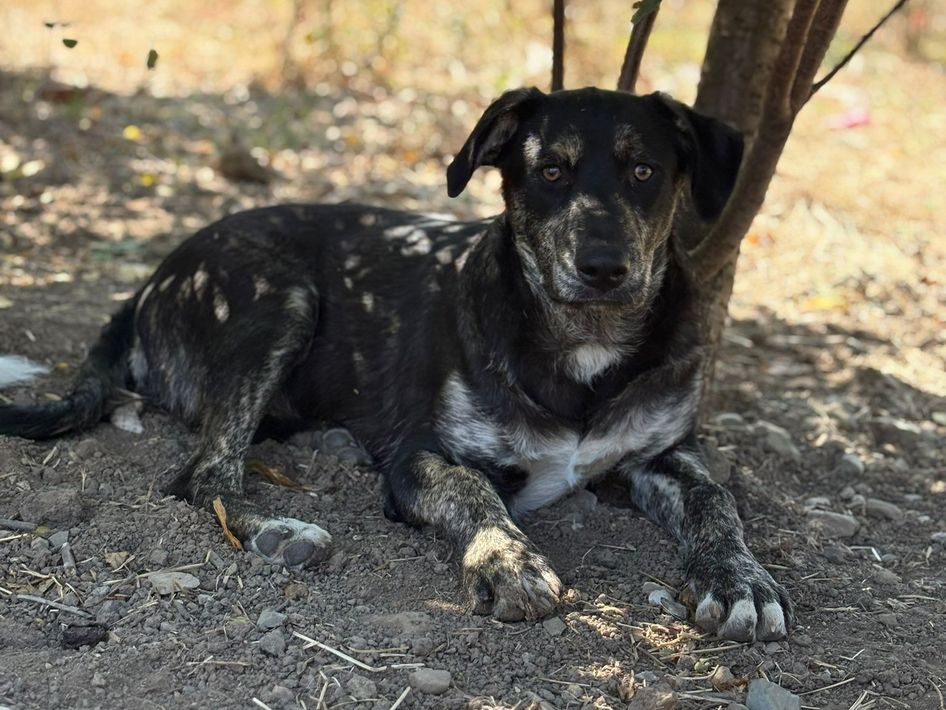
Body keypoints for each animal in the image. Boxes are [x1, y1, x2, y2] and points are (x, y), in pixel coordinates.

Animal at [0, 87, 791, 641]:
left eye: (644, 171)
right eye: (551, 172)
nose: (603, 267)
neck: (583, 344)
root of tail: (153, 277)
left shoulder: (667, 453)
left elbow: (717, 502)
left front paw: (740, 581)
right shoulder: (419, 456)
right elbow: (475, 492)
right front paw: (508, 561)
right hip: (281, 301)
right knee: (203, 474)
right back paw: (277, 529)